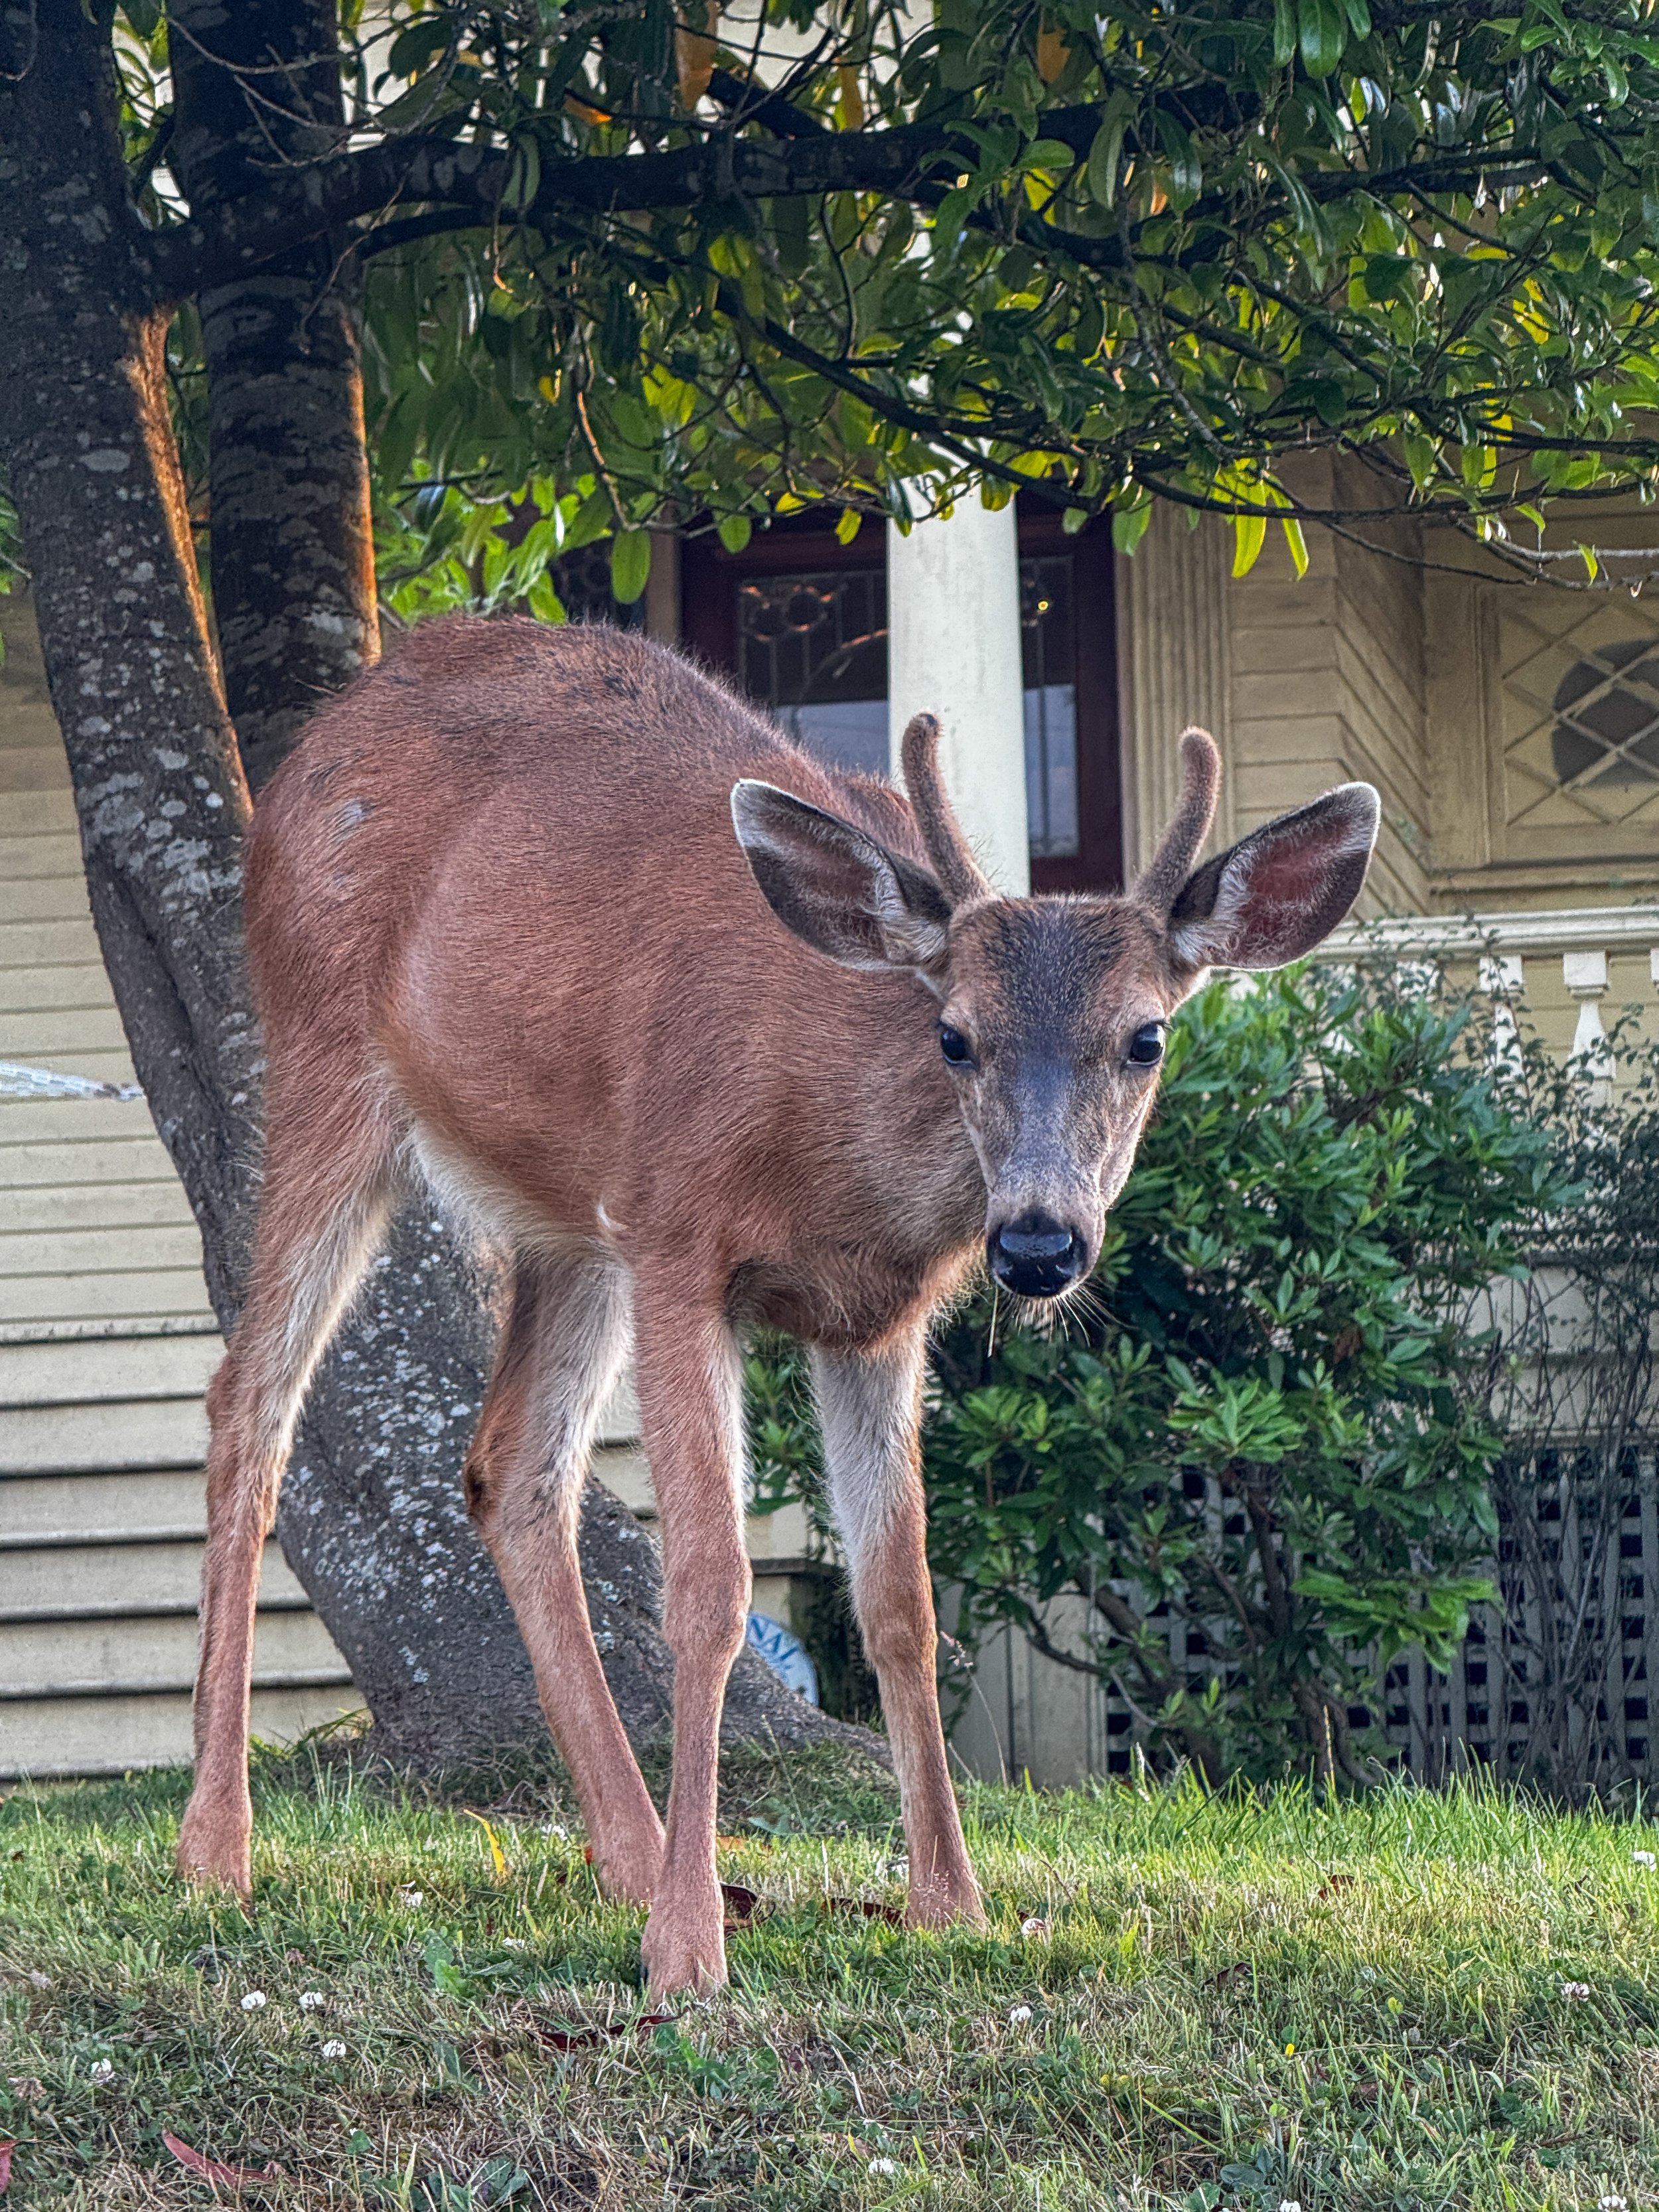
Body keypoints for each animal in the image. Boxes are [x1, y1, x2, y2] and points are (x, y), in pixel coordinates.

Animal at [174, 612, 1380, 1995]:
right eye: (955, 1034)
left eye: (1147, 1038)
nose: (1037, 1241)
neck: (837, 1146)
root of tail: (315, 743)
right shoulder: (681, 1234)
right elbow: (710, 1586)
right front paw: (690, 1949)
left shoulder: (879, 1322)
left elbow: (902, 1600)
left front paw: (949, 1900)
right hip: (325, 1061)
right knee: (251, 1400)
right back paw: (218, 1847)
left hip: (570, 1213)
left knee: (511, 1462)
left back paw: (627, 1853)